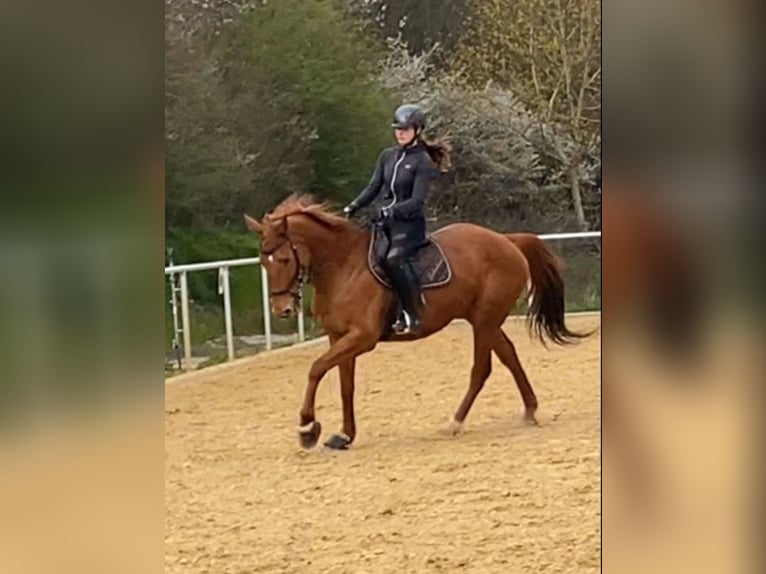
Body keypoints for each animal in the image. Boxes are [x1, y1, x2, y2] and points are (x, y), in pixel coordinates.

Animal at [244, 194, 588, 450]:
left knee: (482, 368)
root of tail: (507, 240)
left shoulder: (362, 338)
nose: (282, 309)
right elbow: (345, 385)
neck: (343, 267)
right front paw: (344, 435)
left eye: (284, 259)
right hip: (485, 321)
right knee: (508, 355)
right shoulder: (338, 337)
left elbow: (315, 369)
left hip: (484, 321)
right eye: (263, 260)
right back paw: (529, 410)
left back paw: (455, 422)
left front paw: (307, 428)